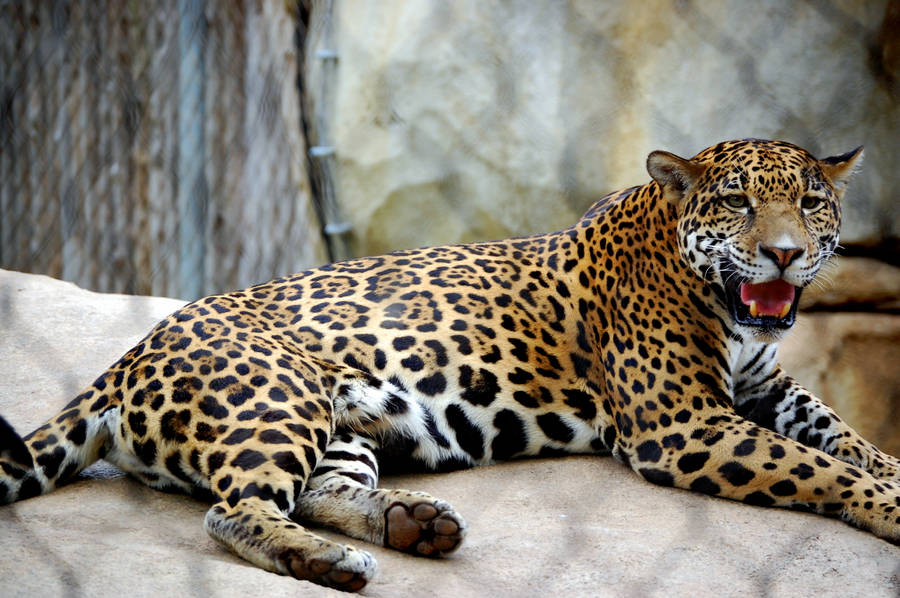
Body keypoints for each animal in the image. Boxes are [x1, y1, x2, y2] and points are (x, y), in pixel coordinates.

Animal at [1, 138, 898, 592]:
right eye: (737, 204)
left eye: (811, 204)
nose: (783, 255)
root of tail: (127, 358)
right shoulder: (683, 424)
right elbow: (816, 468)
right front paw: (888, 507)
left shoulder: (767, 388)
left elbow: (848, 439)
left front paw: (887, 473)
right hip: (279, 397)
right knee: (235, 509)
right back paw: (330, 561)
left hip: (346, 422)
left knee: (320, 490)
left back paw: (411, 523)